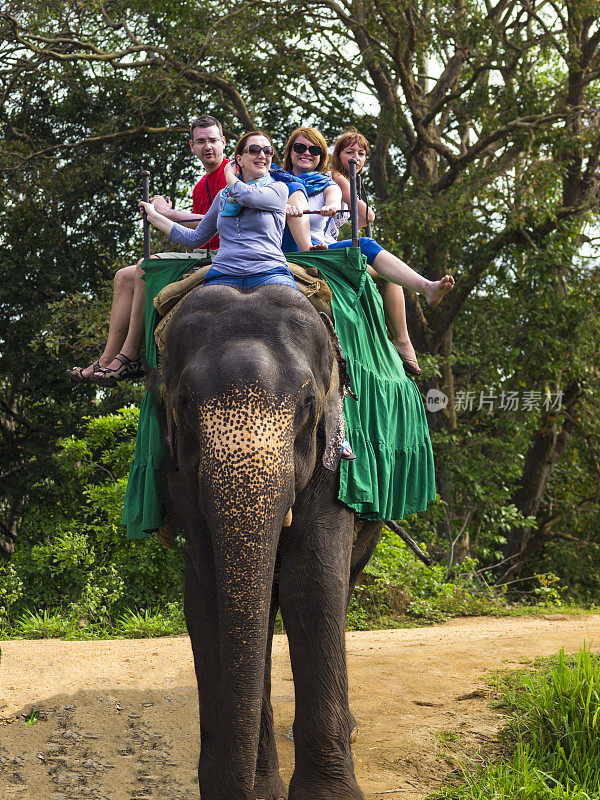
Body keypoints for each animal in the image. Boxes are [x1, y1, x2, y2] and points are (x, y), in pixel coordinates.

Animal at [154, 282, 380, 800]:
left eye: (308, 405)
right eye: (183, 404)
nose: (239, 789)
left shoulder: (333, 461)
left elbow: (314, 587)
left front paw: (328, 795)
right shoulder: (180, 472)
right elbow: (210, 596)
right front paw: (253, 789)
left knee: (339, 586)